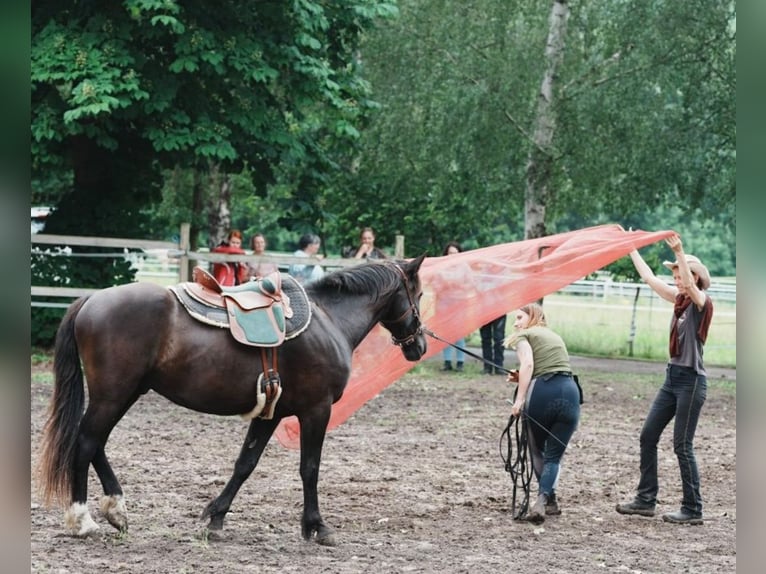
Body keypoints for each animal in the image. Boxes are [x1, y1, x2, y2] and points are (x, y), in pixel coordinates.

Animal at [37, 255, 427, 546]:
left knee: (96, 443)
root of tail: (92, 299)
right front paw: (317, 526)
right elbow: (310, 468)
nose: (420, 345)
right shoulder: (316, 409)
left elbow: (245, 464)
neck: (329, 319)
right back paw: (83, 520)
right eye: (420, 294)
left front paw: (215, 517)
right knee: (87, 442)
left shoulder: (272, 413)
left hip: (126, 393)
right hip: (113, 394)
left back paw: (116, 510)